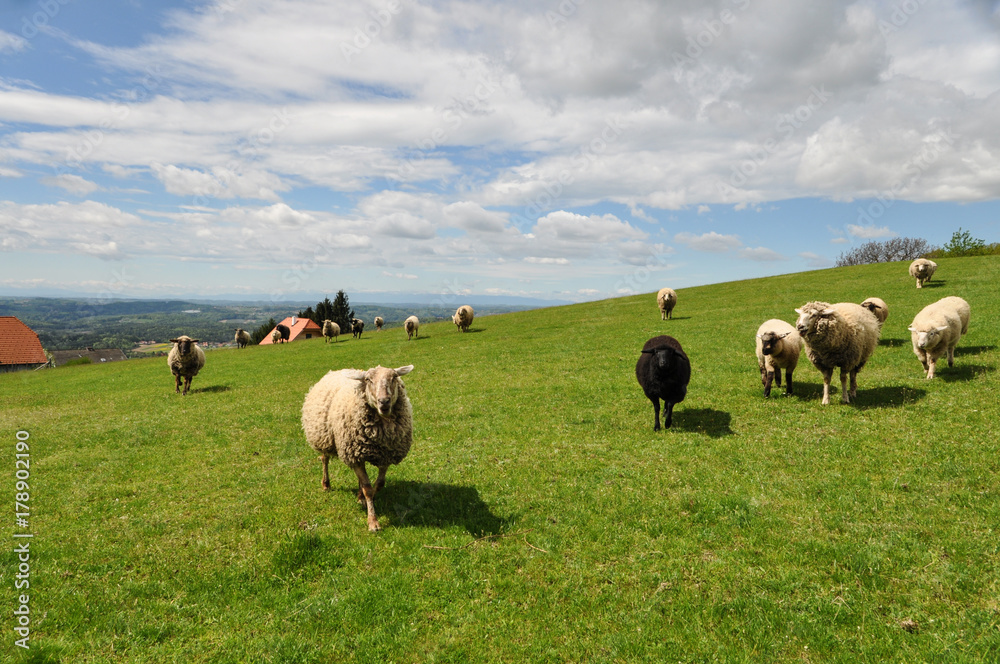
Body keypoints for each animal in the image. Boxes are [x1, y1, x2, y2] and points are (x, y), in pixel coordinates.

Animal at [301, 365, 415, 532]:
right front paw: (373, 521)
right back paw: (326, 484)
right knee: (324, 459)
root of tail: (337, 371)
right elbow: (368, 488)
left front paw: (362, 498)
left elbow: (378, 484)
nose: (384, 402)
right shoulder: (354, 456)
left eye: (394, 377)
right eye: (368, 380)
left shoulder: (385, 456)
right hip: (324, 437)